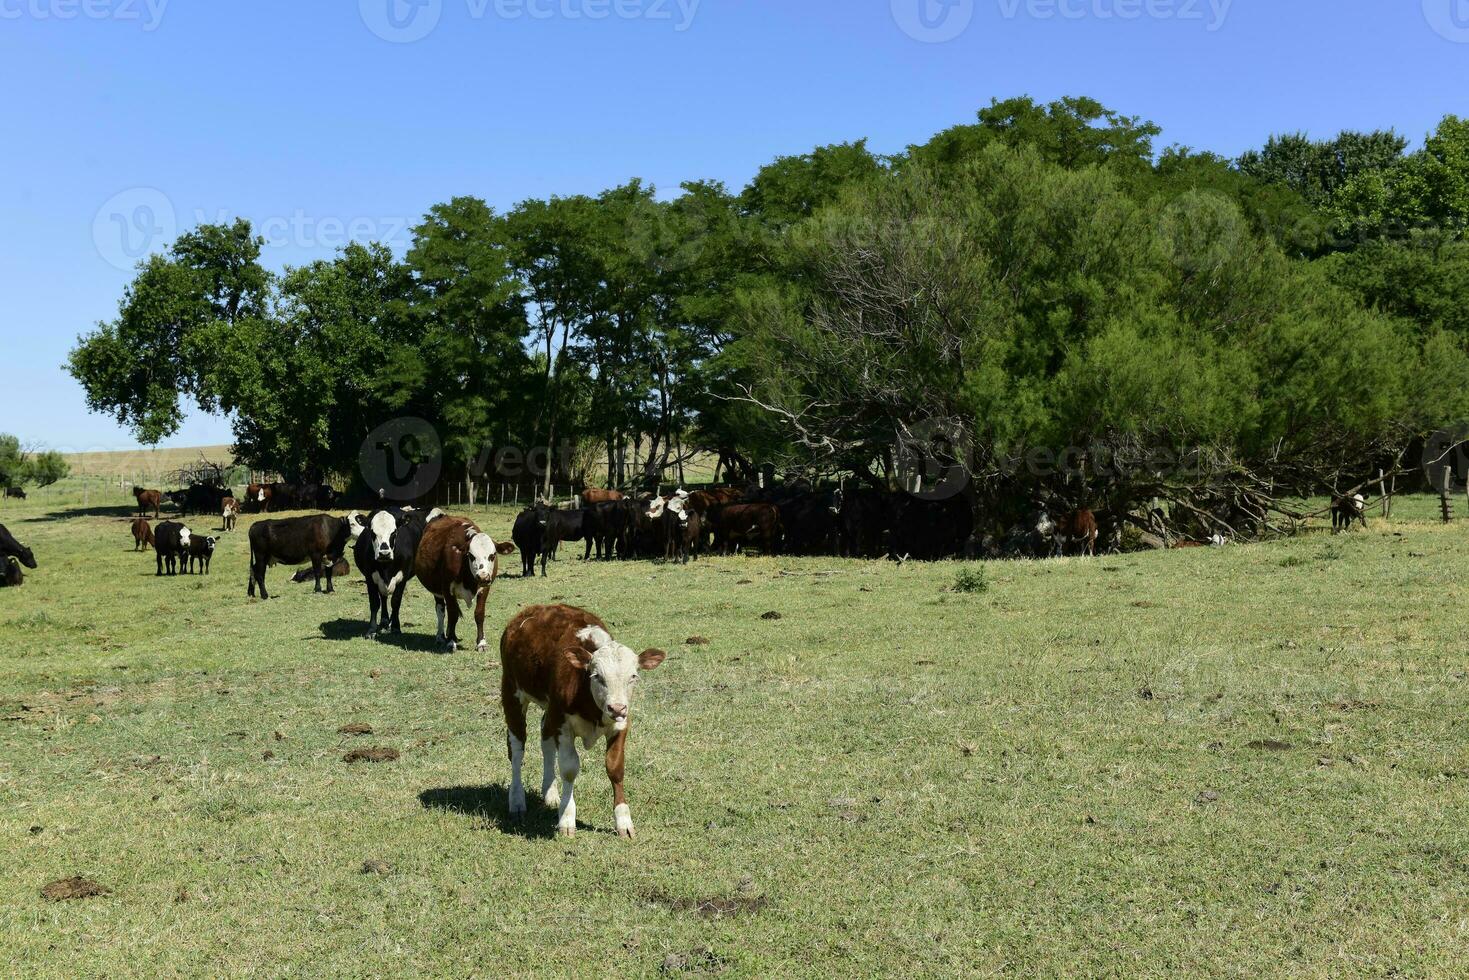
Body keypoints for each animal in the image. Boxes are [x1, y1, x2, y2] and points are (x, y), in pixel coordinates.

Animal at [414, 514, 517, 652]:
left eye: (492, 555)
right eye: (471, 555)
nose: (483, 576)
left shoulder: (485, 588)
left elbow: (479, 614)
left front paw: (481, 643)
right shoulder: (447, 590)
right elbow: (452, 615)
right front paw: (451, 641)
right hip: (437, 592)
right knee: (441, 610)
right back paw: (441, 636)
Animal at [502, 602, 669, 840]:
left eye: (633, 676)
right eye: (597, 676)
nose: (617, 708)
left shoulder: (620, 725)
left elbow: (615, 768)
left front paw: (623, 820)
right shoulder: (563, 724)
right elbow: (569, 768)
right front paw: (566, 818)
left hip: (549, 710)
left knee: (545, 739)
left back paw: (550, 792)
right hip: (512, 692)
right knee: (517, 749)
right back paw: (516, 801)